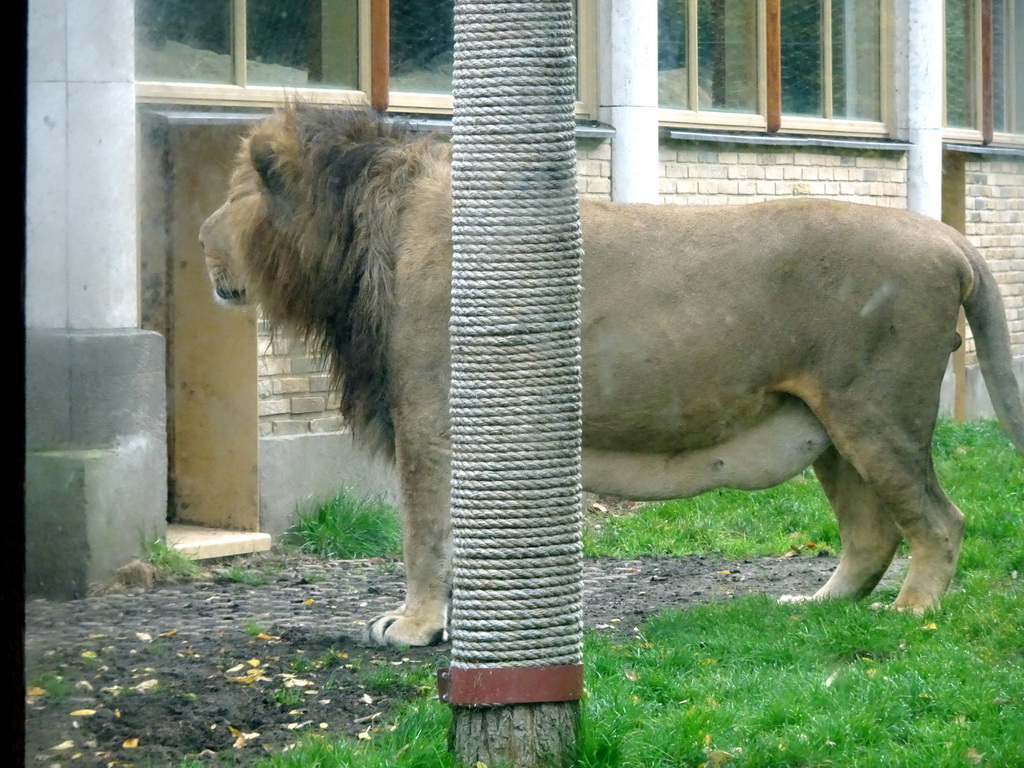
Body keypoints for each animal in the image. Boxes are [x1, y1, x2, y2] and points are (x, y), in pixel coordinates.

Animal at [201, 103, 1024, 651]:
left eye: (237, 194)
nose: (200, 236)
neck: (360, 228)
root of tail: (950, 239)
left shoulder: (432, 419)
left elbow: (425, 534)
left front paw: (414, 627)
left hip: (876, 414)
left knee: (940, 521)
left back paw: (911, 614)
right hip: (827, 425)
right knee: (871, 534)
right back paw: (817, 604)